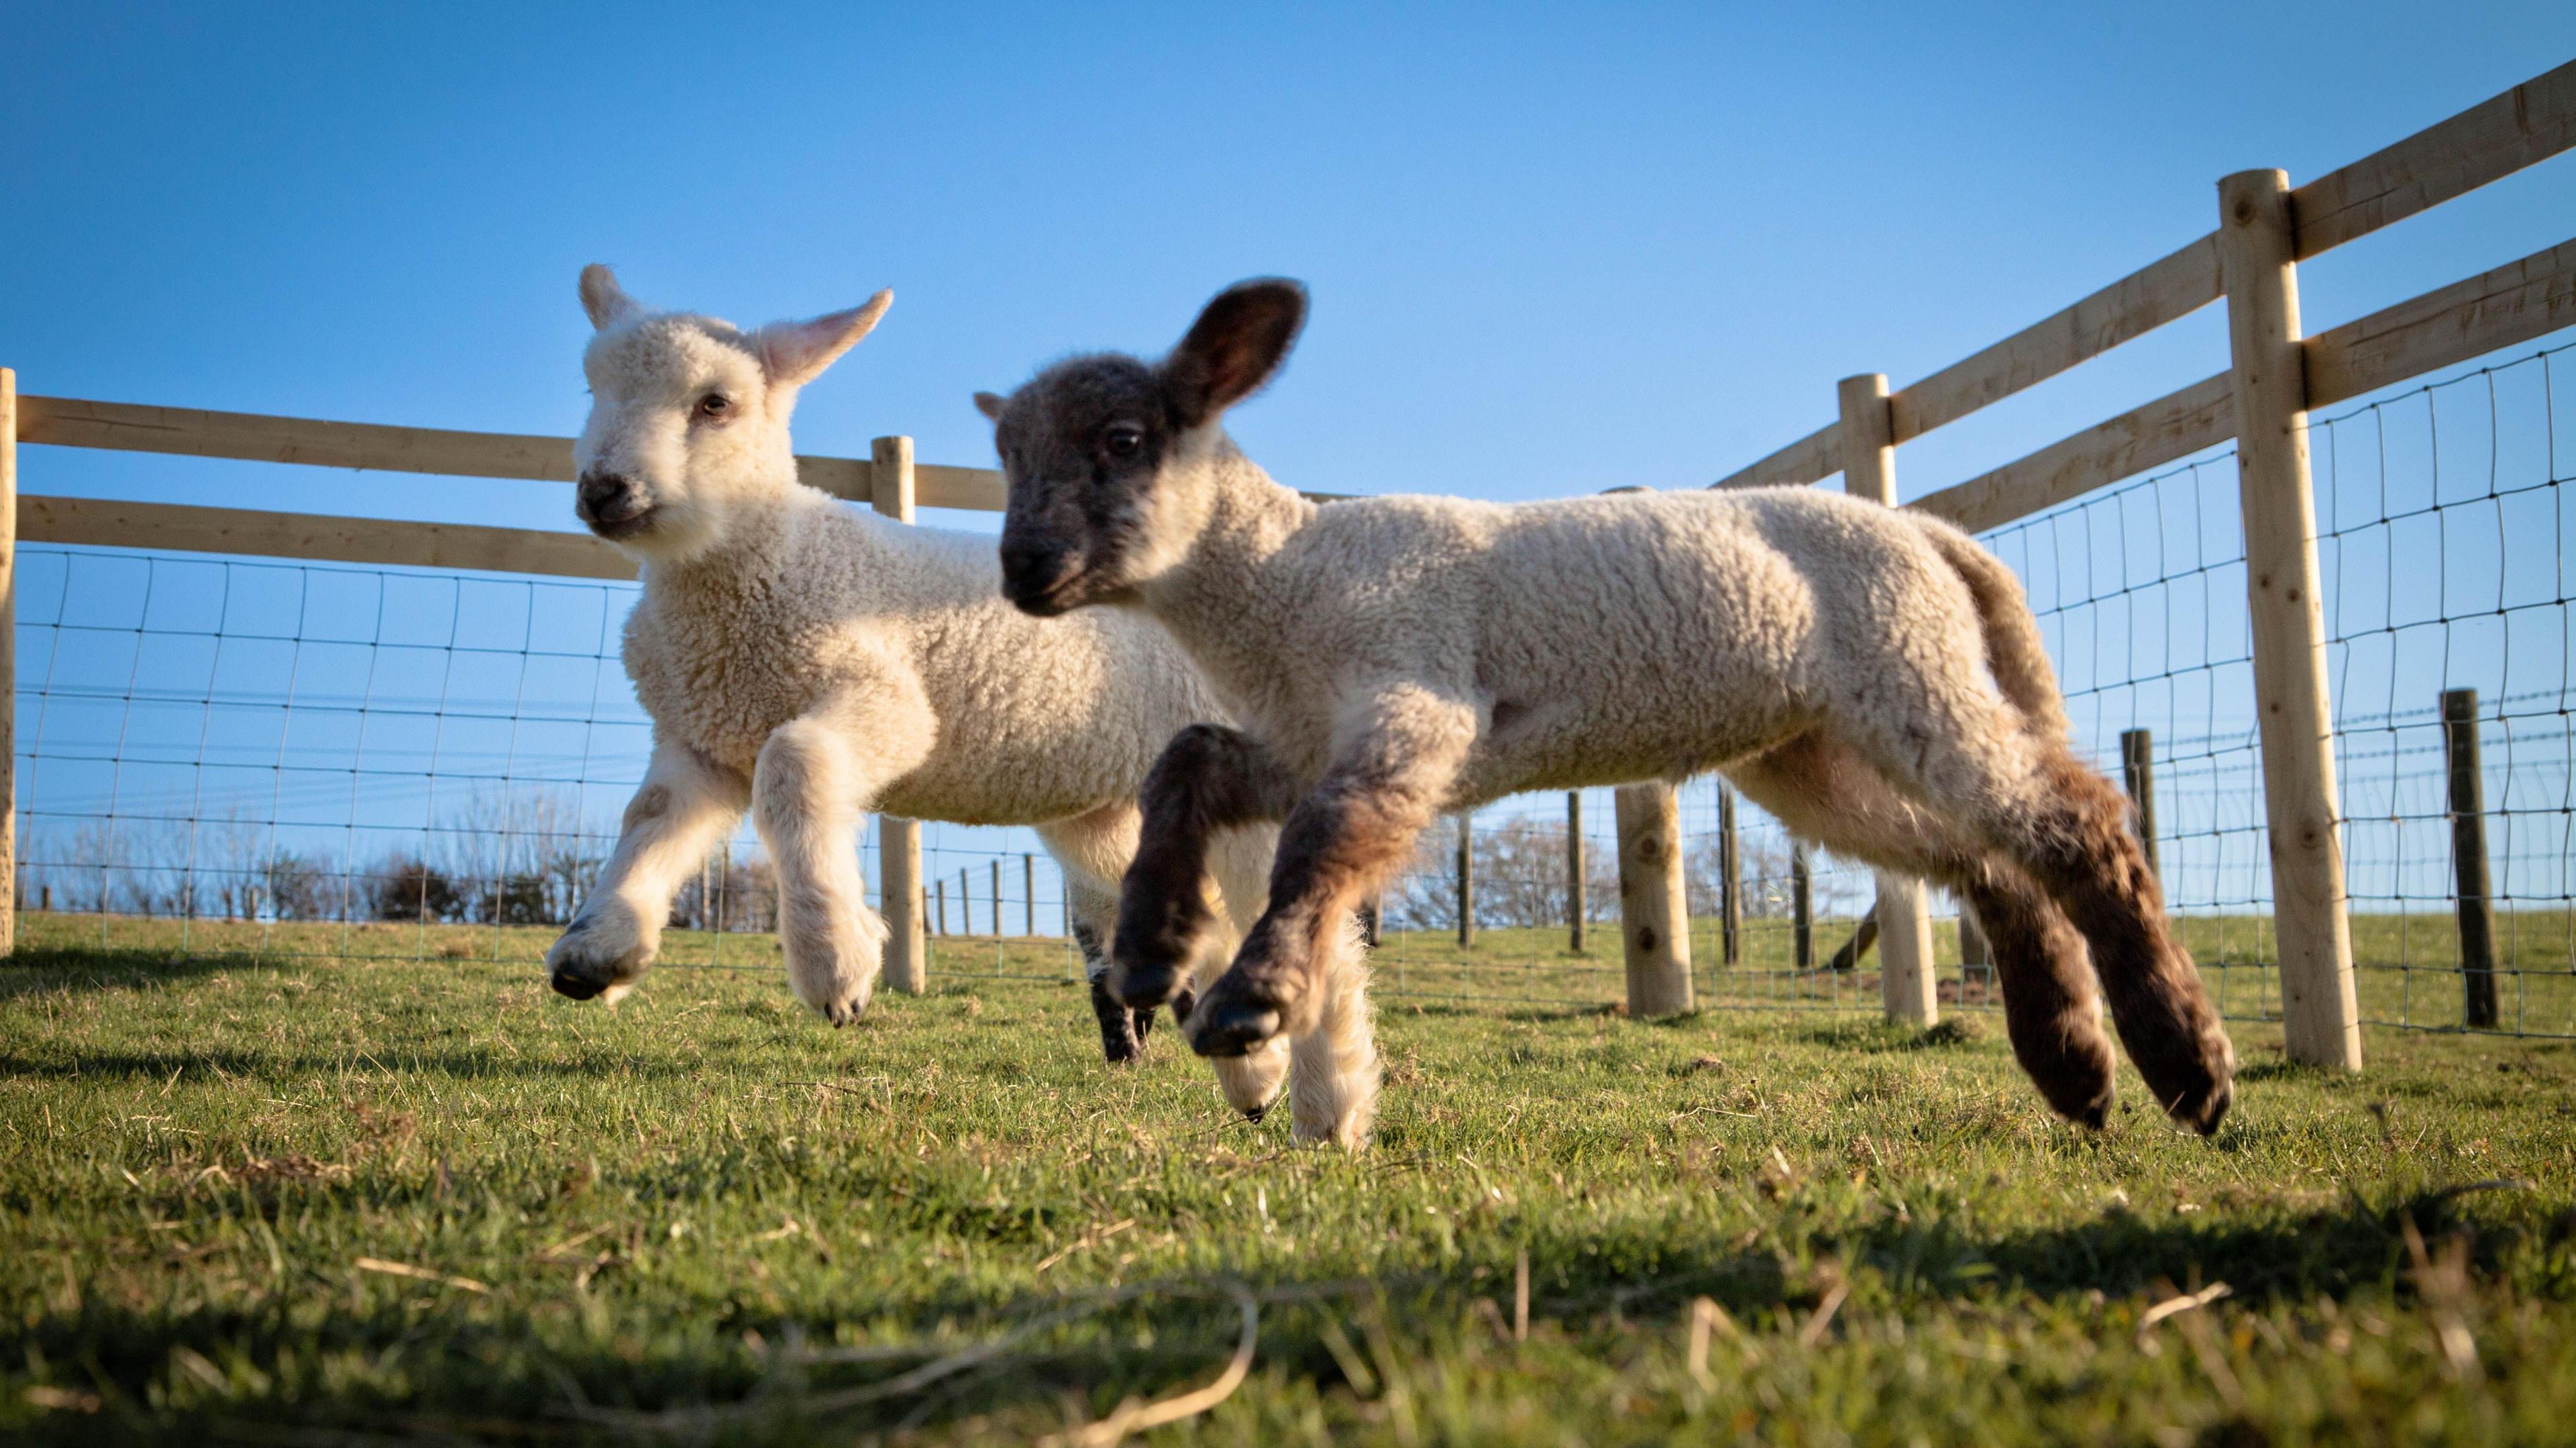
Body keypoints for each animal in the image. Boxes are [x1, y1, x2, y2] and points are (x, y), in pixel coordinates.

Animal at [543, 261, 1370, 1139]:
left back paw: (1331, 1111)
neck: (765, 566)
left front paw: (836, 959)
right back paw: (1256, 1077)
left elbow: (795, 763)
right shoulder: (700, 736)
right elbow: (652, 816)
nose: (605, 490)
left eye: (715, 403)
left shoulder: (885, 701)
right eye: (592, 386)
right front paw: (597, 952)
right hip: (1108, 812)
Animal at [979, 276, 2236, 1133]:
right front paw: (1151, 948)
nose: (1025, 567)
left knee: (2075, 821)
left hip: (1905, 667)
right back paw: (2074, 1063)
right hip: (1808, 746)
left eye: (1124, 439)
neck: (1288, 578)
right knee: (1978, 856)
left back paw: (2186, 1063)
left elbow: (1320, 844)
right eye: (1003, 456)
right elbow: (1185, 763)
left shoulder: (1416, 695)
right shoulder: (1302, 732)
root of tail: (1930, 534)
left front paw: (1250, 1000)